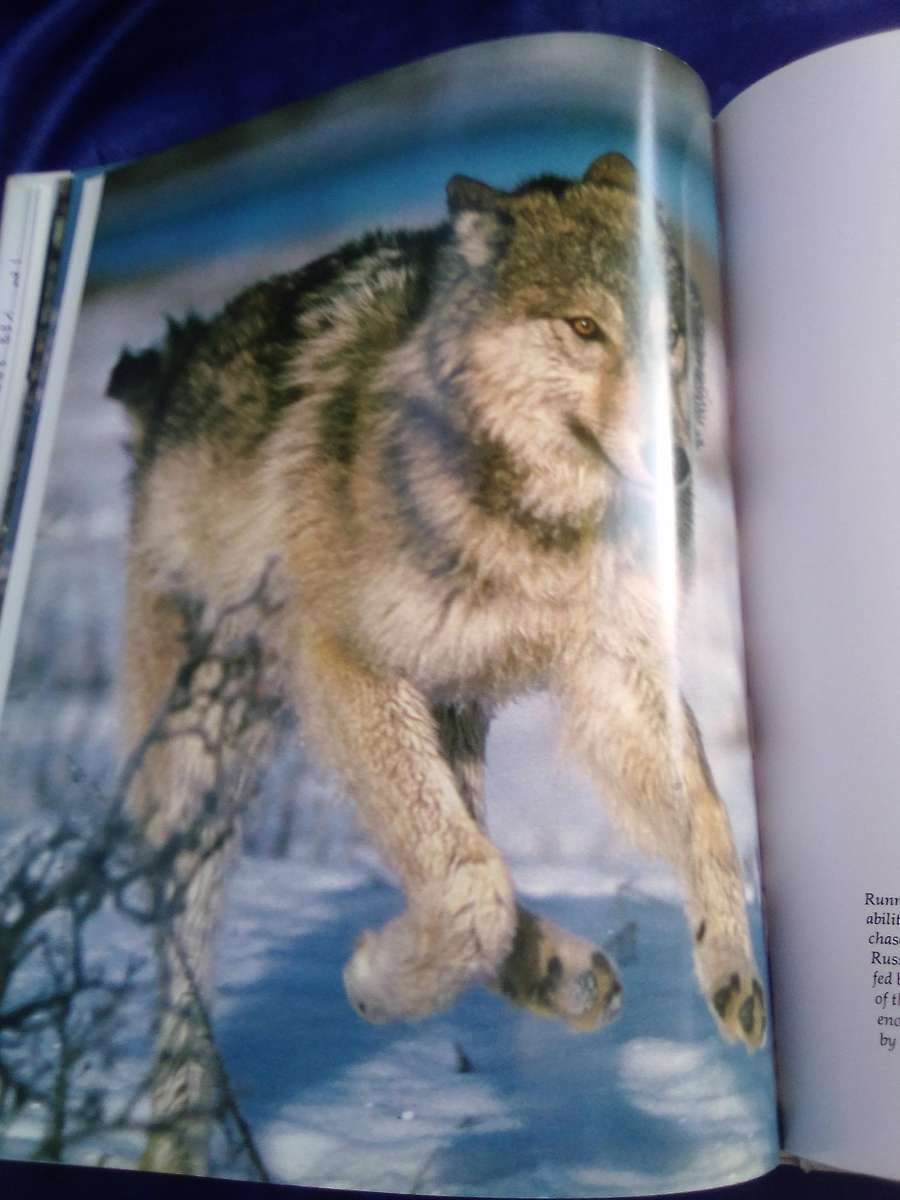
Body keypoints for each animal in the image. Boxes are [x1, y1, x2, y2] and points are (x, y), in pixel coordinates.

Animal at [108, 151, 765, 1173]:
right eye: (583, 329)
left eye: (671, 336)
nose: (681, 467)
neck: (531, 527)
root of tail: (179, 362)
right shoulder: (344, 664)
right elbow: (468, 891)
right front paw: (374, 984)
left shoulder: (613, 674)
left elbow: (702, 819)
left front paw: (728, 963)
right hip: (205, 772)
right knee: (194, 965)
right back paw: (177, 1137)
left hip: (450, 716)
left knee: (477, 851)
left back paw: (561, 975)